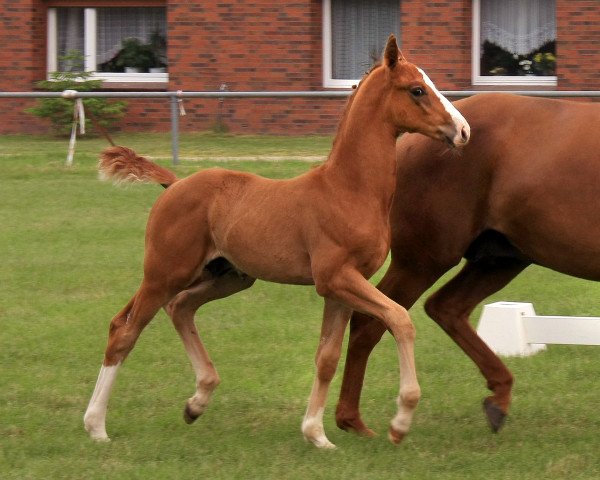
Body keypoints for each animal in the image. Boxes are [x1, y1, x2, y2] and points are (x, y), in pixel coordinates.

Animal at [84, 35, 472, 448]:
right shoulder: (335, 278)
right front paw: (401, 420)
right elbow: (400, 319)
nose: (463, 130)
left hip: (225, 276)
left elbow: (327, 358)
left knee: (178, 309)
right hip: (165, 273)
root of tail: (174, 184)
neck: (348, 190)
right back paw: (96, 426)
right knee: (126, 331)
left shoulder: (341, 288)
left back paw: (197, 402)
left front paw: (316, 434)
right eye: (417, 90)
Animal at [336, 92, 596, 436]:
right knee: (373, 320)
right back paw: (351, 419)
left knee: (445, 307)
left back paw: (498, 398)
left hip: (499, 260)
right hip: (423, 261)